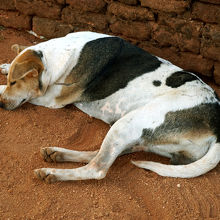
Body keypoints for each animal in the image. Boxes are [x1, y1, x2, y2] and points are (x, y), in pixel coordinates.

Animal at [0, 31, 220, 182]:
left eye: (14, 83)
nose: (2, 104)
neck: (59, 55)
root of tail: (217, 129)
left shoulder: (52, 99)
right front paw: (5, 66)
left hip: (128, 123)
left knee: (97, 168)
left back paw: (52, 173)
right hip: (135, 135)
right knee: (99, 154)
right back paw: (57, 154)